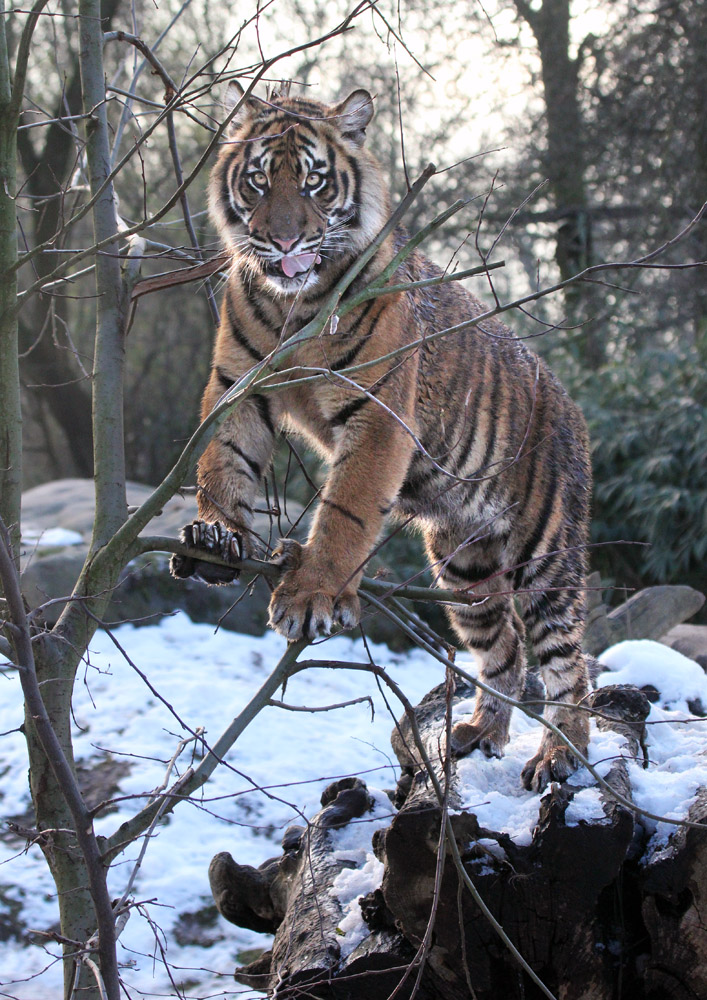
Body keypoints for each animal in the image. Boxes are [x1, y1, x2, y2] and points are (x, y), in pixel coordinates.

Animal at [171, 82, 592, 792]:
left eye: (313, 181)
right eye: (258, 181)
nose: (284, 240)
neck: (294, 306)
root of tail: (570, 403)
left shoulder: (376, 414)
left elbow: (346, 511)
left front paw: (311, 593)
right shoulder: (238, 386)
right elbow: (221, 465)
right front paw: (216, 536)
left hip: (546, 557)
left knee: (570, 660)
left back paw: (562, 756)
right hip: (465, 569)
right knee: (503, 647)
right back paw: (481, 731)